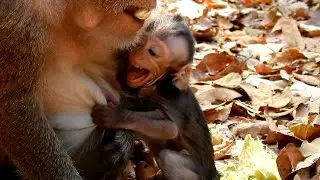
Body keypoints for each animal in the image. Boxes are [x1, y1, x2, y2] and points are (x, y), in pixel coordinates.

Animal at [91, 14, 219, 180]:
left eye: (152, 52)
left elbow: (169, 128)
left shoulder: (169, 96)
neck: (158, 83)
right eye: (139, 43)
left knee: (167, 157)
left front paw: (115, 116)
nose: (137, 54)